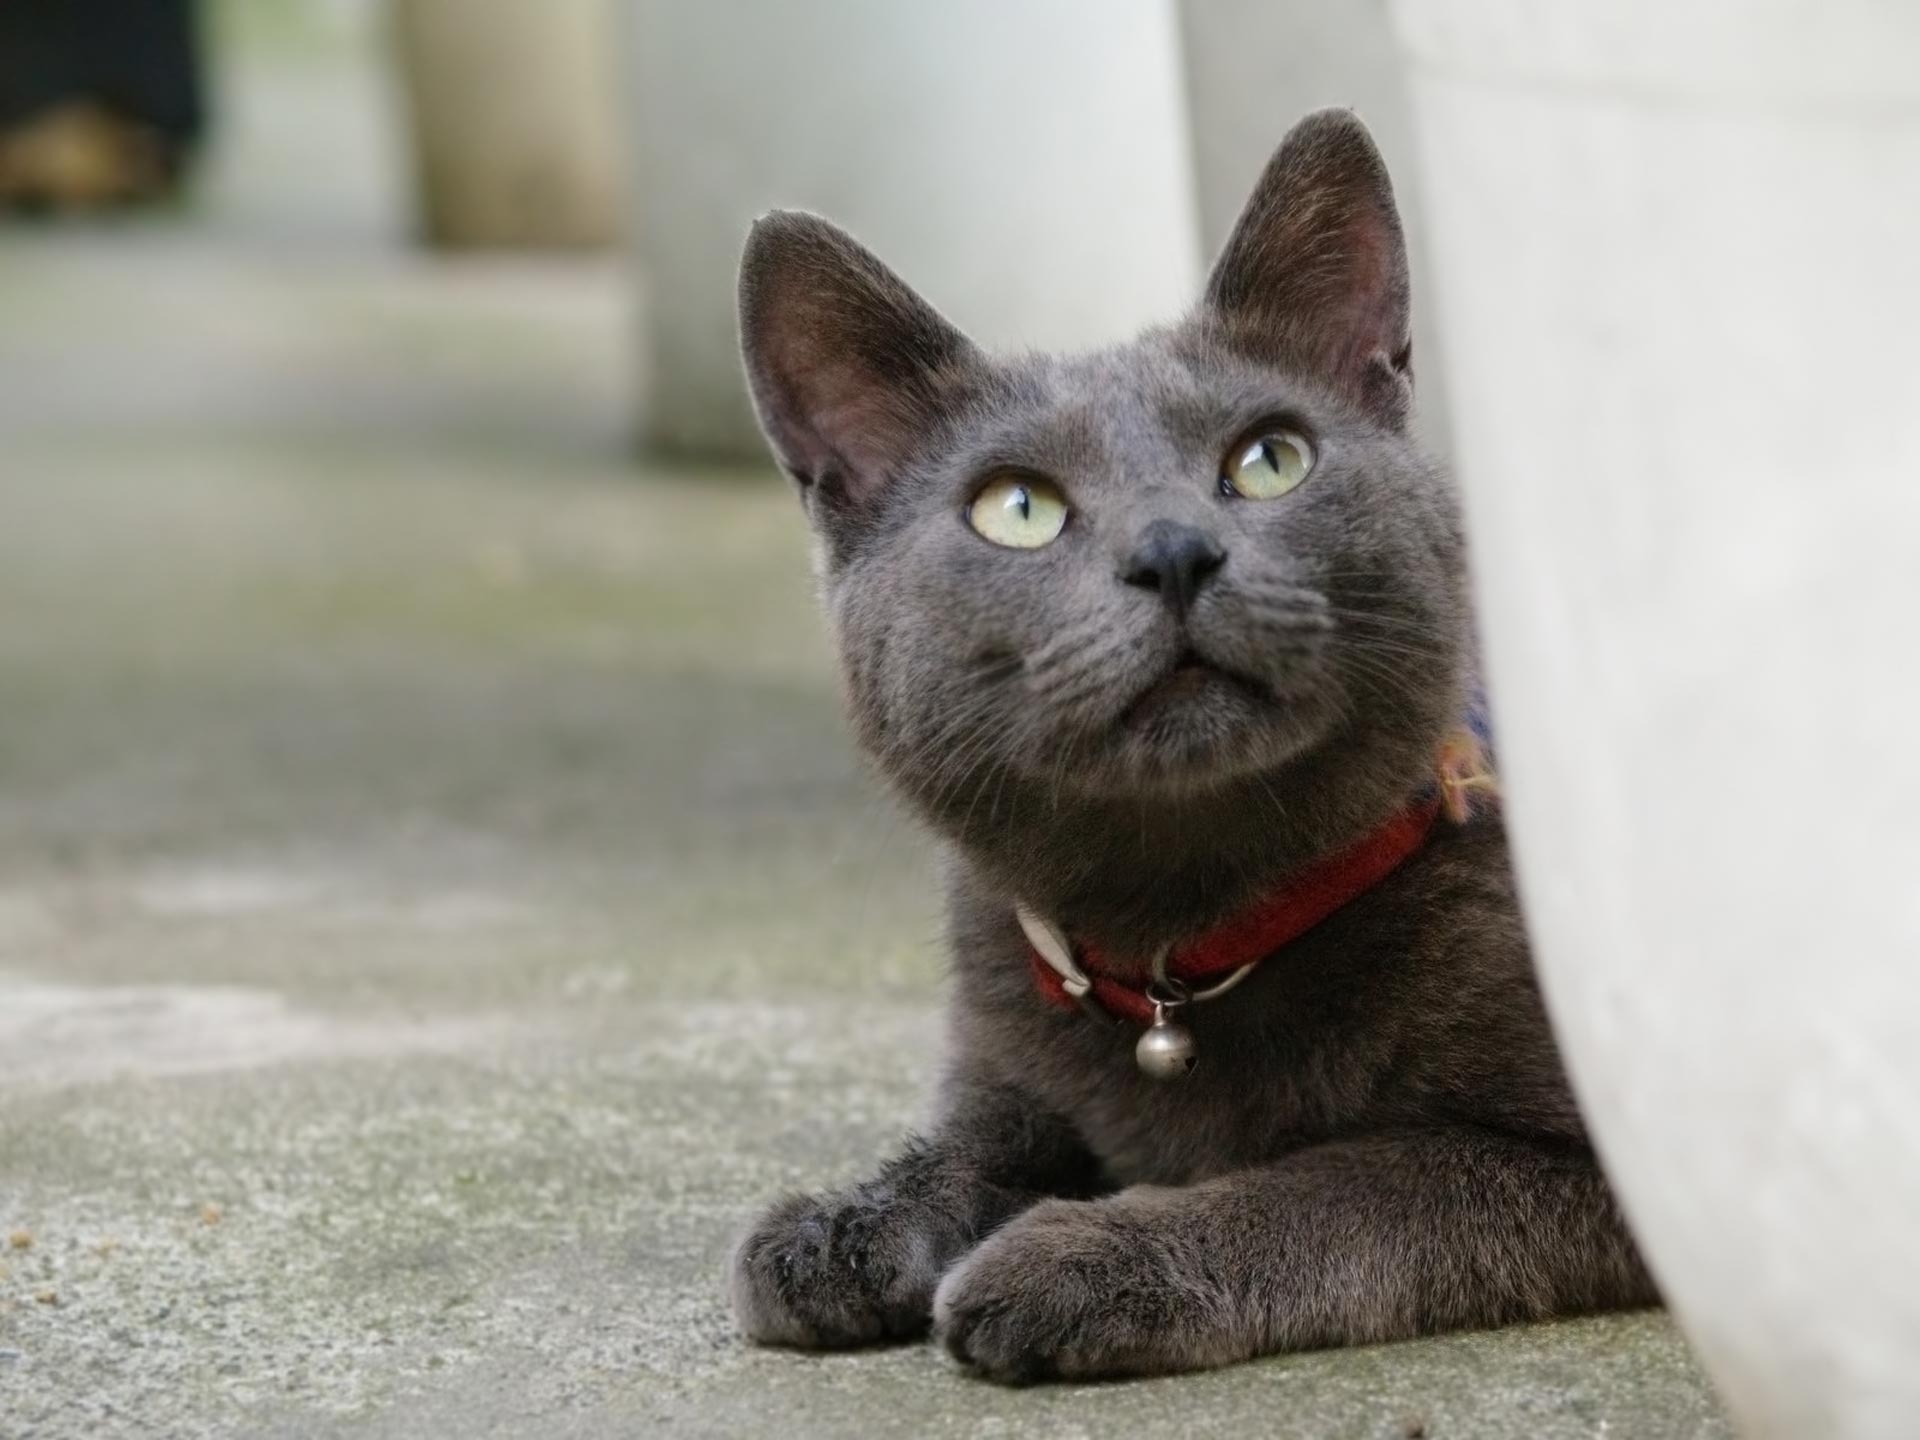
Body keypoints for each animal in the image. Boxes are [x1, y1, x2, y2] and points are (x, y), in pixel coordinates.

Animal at [721, 107, 1651, 1382]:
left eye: (1271, 459)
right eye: (1017, 508)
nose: (1173, 550)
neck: (1184, 935)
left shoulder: (1616, 1164)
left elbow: (1351, 1180)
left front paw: (1078, 1259)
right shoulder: (1006, 1050)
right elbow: (965, 1150)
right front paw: (842, 1225)